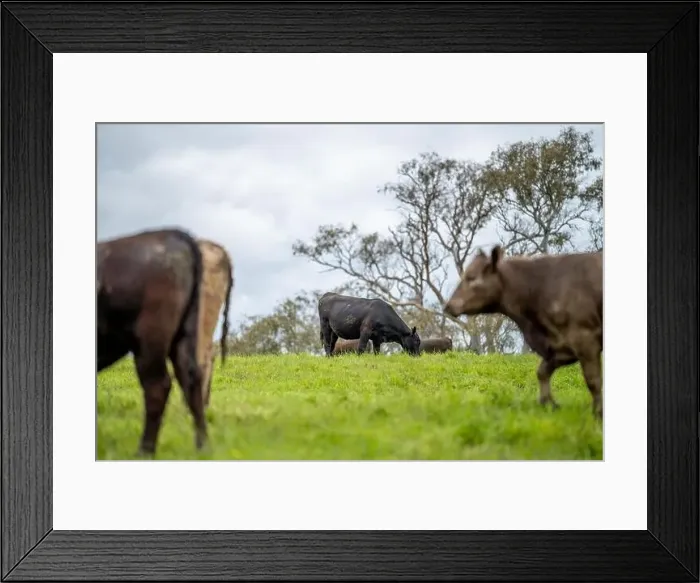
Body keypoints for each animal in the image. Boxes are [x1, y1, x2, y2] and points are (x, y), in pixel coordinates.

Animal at [97, 227, 207, 456]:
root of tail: (172, 233)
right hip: (184, 335)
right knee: (191, 378)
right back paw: (203, 447)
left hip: (150, 339)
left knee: (158, 385)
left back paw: (144, 451)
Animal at [443, 246, 603, 419]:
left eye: (471, 277)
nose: (448, 305)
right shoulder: (561, 347)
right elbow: (542, 371)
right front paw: (549, 403)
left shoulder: (584, 338)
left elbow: (593, 380)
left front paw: (598, 413)